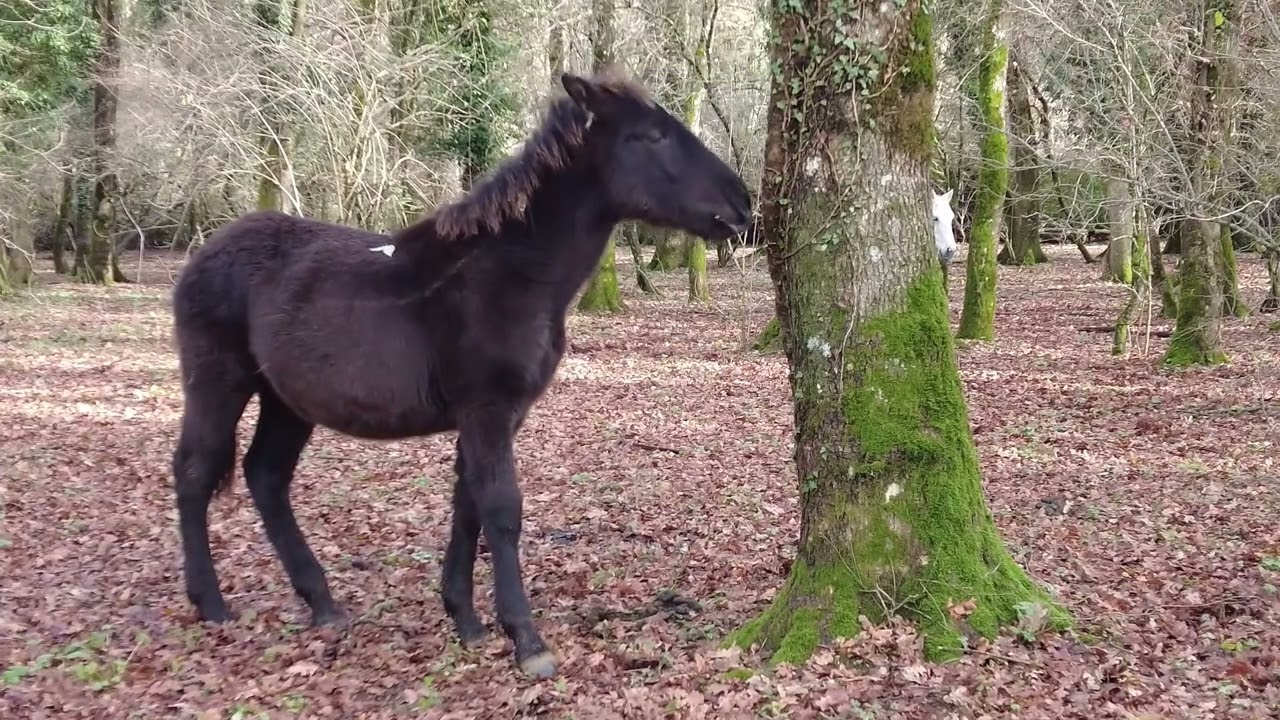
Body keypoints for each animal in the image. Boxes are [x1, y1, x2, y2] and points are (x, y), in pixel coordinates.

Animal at [168, 67, 752, 679]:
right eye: (652, 135)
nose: (742, 202)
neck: (511, 273)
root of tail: (202, 256)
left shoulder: (500, 415)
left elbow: (467, 502)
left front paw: (466, 619)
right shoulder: (486, 410)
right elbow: (500, 508)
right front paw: (526, 640)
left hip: (287, 401)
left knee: (266, 476)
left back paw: (321, 602)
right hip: (219, 382)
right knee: (195, 471)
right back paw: (211, 603)